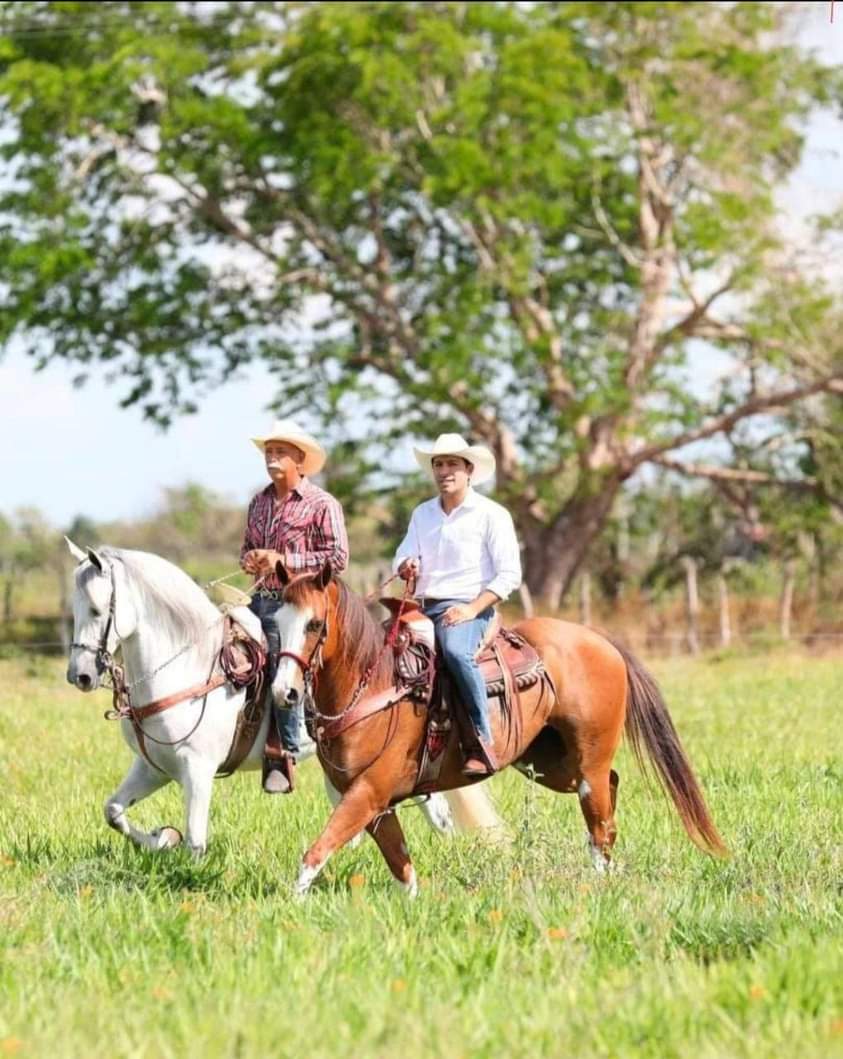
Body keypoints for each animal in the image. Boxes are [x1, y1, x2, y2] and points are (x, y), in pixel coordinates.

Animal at [65, 542, 504, 855]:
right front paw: (161, 838)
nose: (79, 675)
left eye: (97, 609)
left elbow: (195, 840)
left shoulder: (197, 769)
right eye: (73, 608)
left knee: (437, 812)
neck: (192, 665)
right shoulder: (153, 766)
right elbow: (114, 812)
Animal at [271, 563, 724, 893]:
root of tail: (600, 640)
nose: (284, 691)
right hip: (550, 764)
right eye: (276, 623)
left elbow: (317, 852)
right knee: (608, 790)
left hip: (588, 759)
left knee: (598, 811)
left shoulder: (369, 792)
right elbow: (402, 866)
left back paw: (599, 878)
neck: (377, 684)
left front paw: (292, 905)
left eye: (314, 624)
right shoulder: (375, 804)